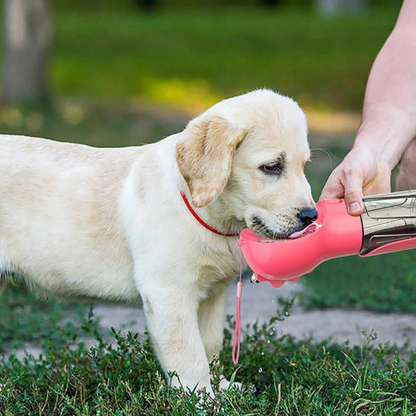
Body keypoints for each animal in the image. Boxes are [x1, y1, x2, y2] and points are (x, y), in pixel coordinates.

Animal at [0, 89, 316, 394]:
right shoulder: (168, 292)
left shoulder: (213, 295)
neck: (211, 215)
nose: (311, 216)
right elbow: (190, 355)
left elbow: (210, 345)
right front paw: (202, 399)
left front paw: (222, 387)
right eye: (271, 167)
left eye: (304, 166)